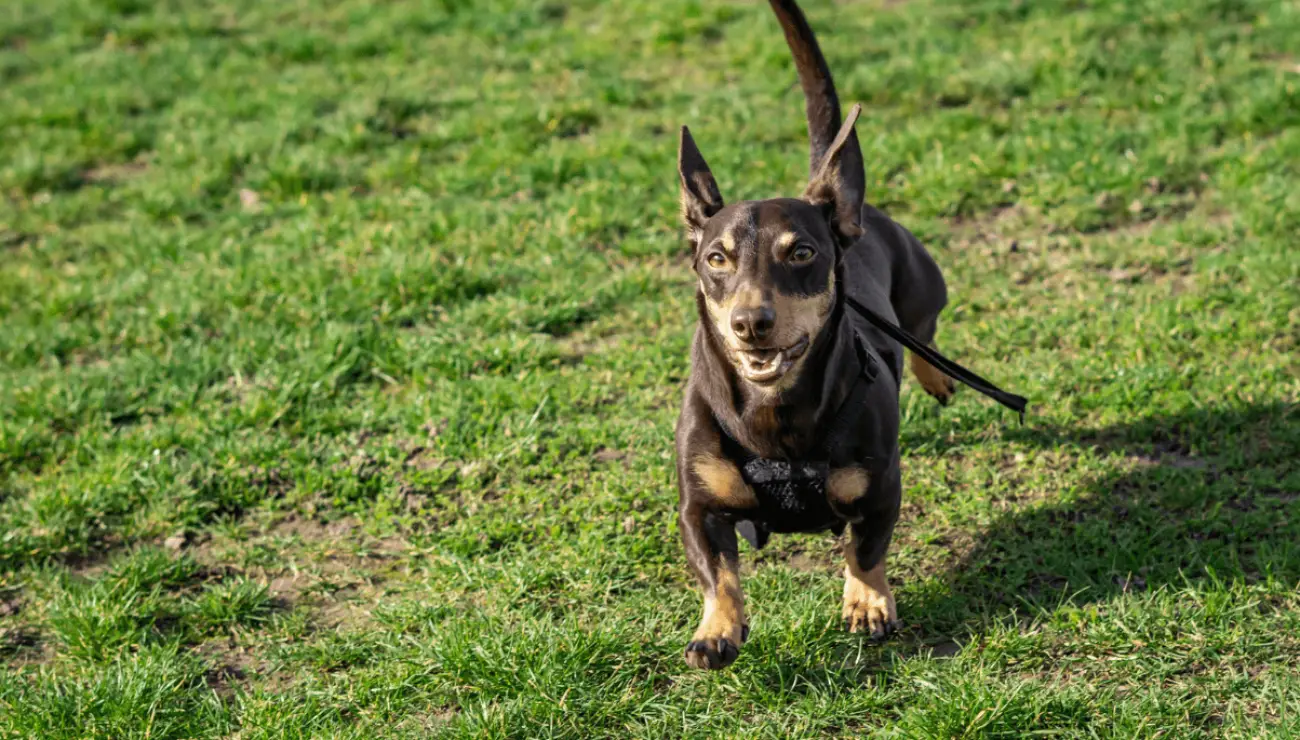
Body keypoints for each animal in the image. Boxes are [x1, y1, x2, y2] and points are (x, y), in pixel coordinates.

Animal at [676, 1, 961, 671]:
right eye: (716, 259)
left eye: (801, 252)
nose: (750, 324)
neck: (774, 412)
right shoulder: (697, 506)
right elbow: (718, 573)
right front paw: (716, 630)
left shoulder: (880, 490)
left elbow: (865, 549)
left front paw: (867, 602)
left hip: (921, 287)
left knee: (923, 334)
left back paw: (936, 375)